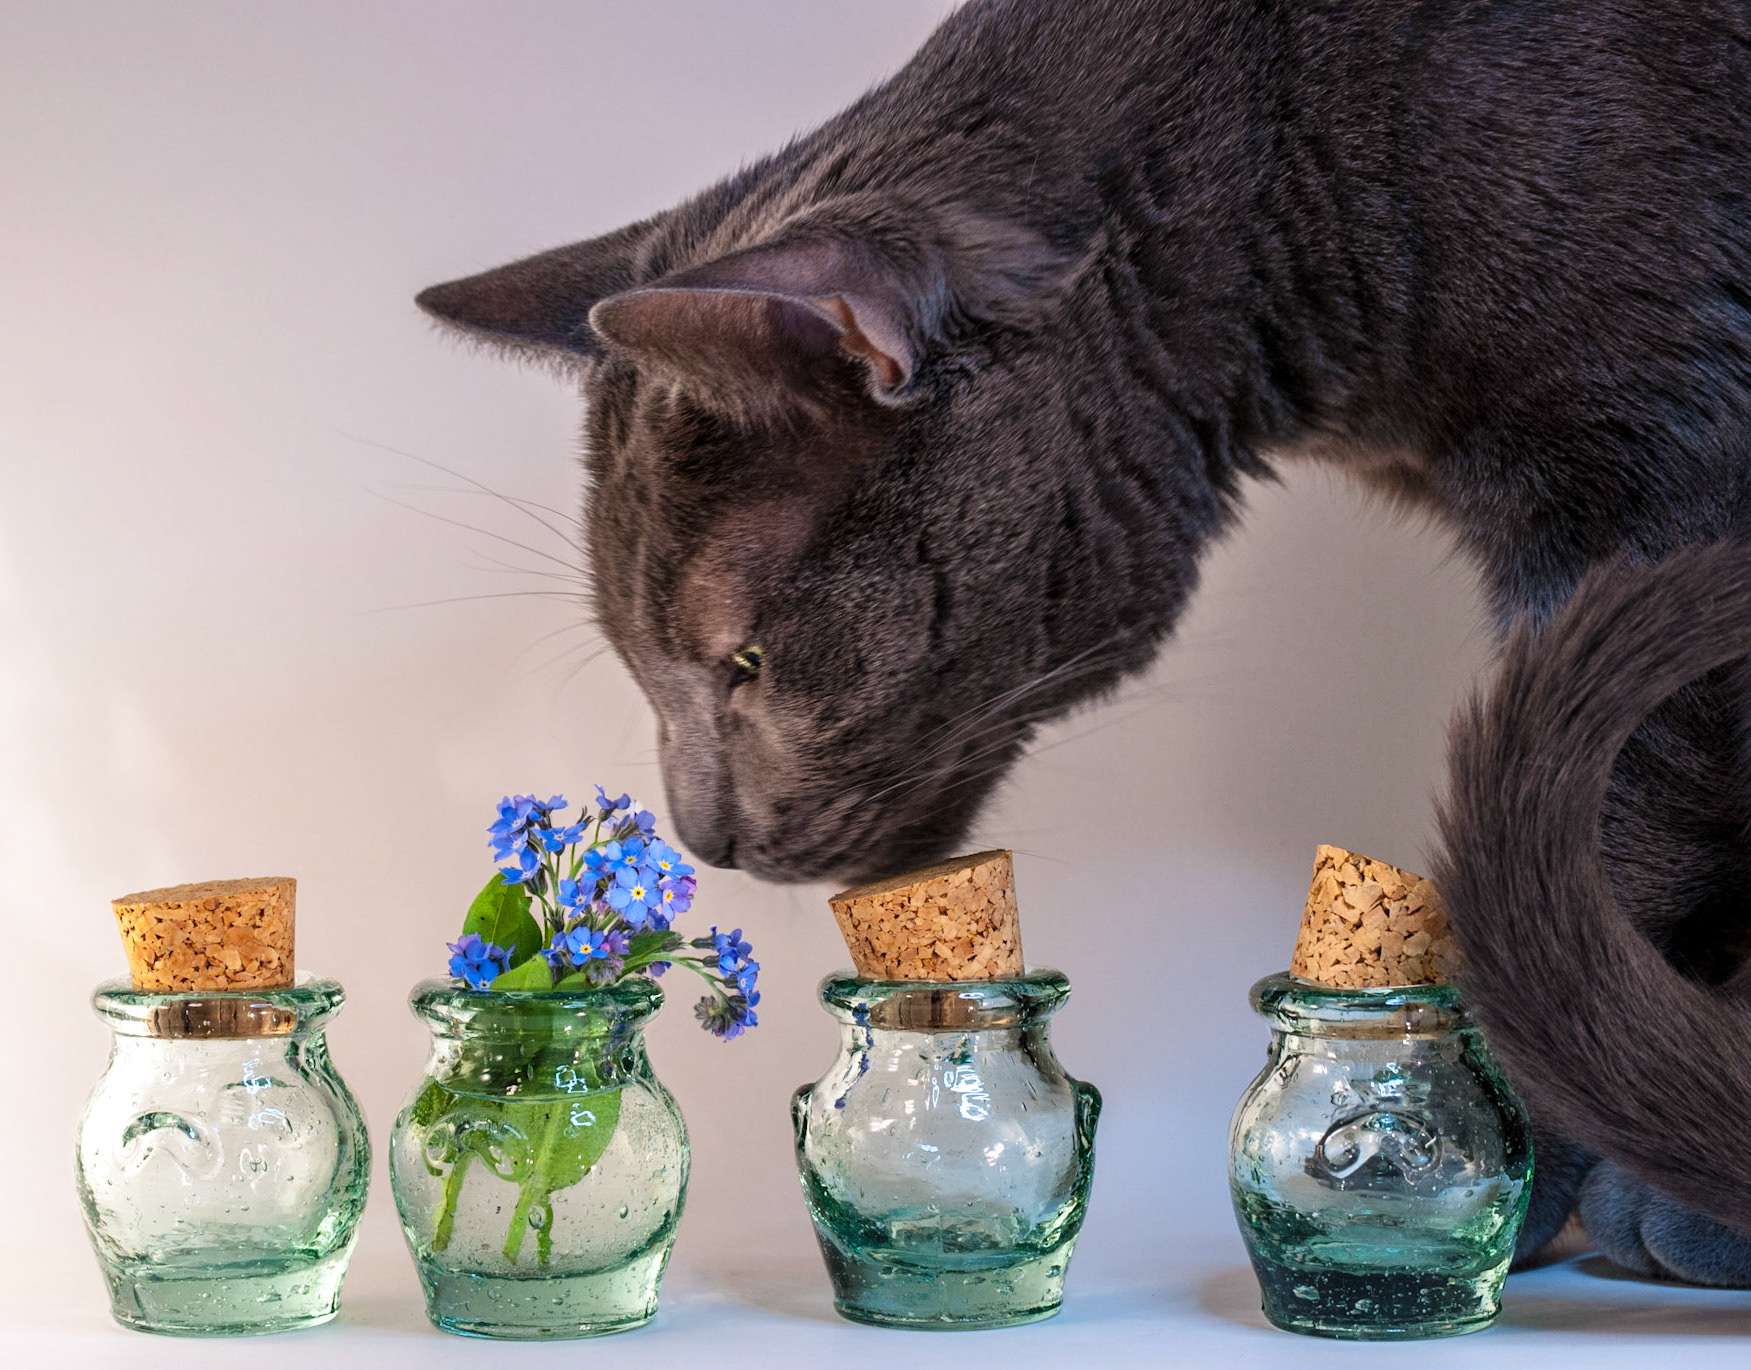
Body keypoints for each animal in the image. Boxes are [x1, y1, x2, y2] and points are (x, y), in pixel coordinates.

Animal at [414, 0, 1751, 1285]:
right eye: (639, 664)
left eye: (742, 662)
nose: (703, 835)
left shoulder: (1654, 494)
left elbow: (1592, 851)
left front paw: (1483, 1164)